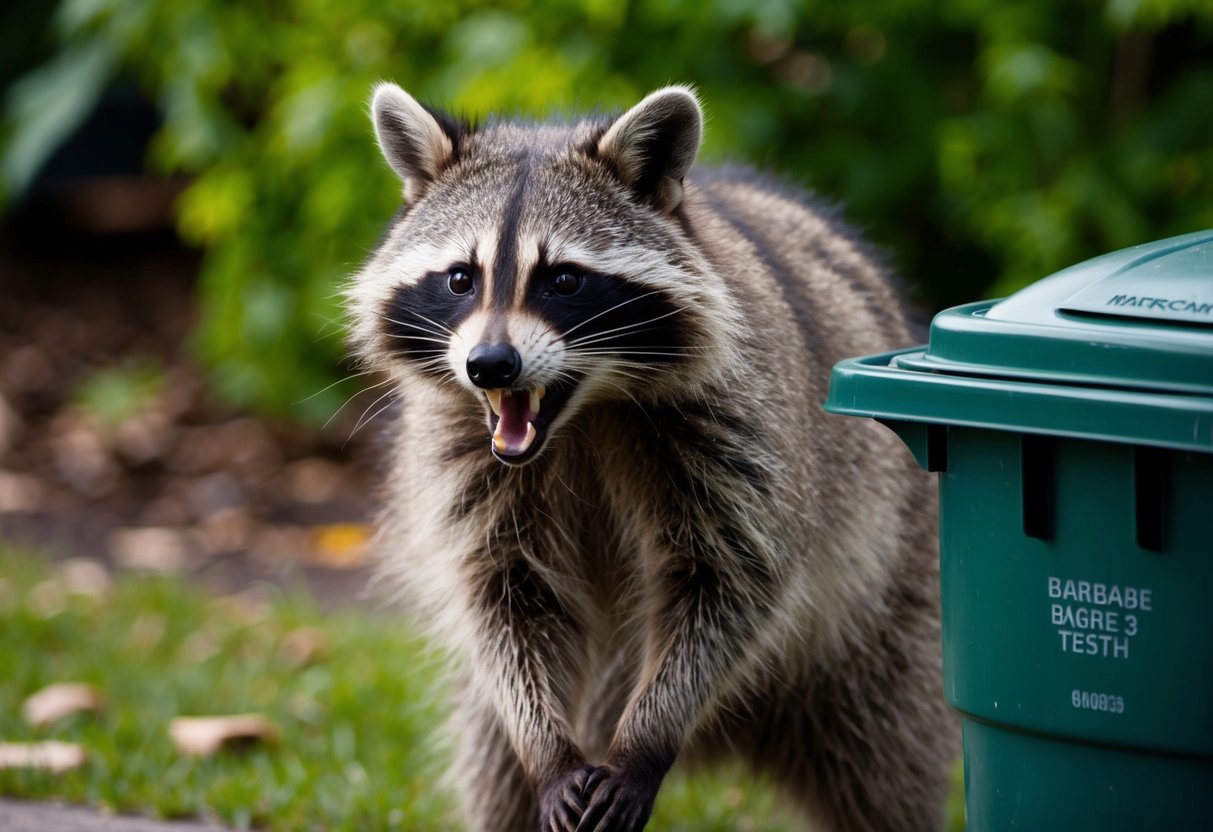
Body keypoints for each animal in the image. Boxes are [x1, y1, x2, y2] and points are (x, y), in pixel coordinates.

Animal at [347, 84, 957, 832]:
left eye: (563, 280)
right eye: (461, 278)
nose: (490, 365)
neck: (583, 416)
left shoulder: (741, 431)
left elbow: (727, 584)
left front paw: (647, 735)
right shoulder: (460, 453)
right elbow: (503, 598)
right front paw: (546, 749)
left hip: (889, 607)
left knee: (885, 766)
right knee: (492, 764)